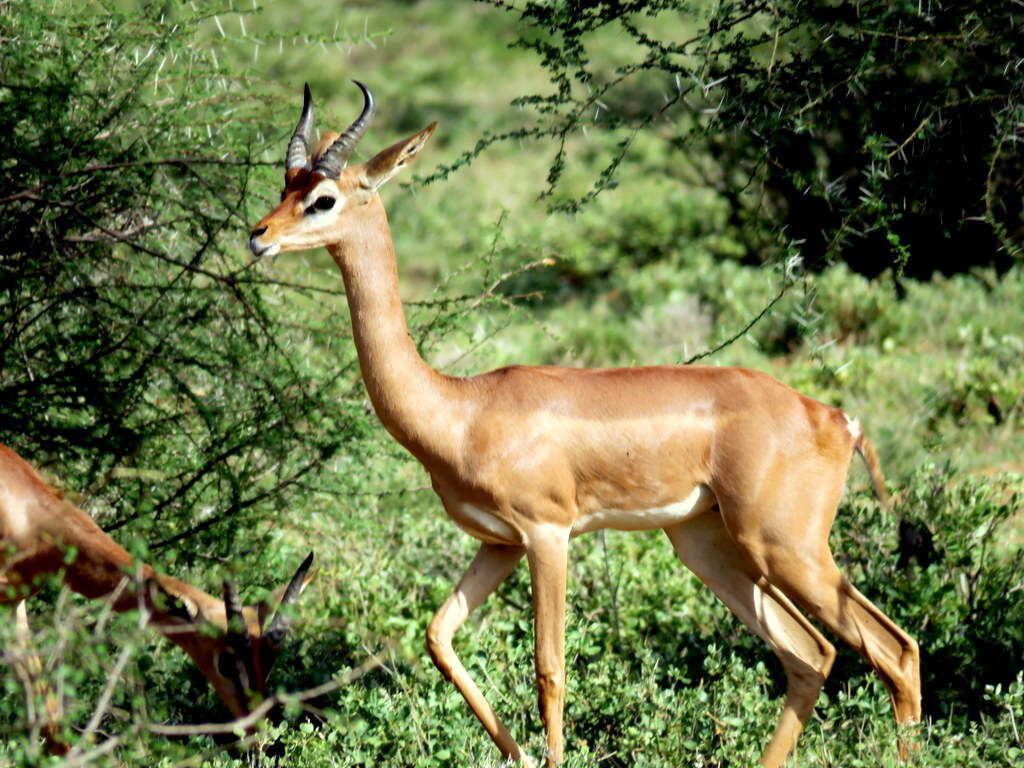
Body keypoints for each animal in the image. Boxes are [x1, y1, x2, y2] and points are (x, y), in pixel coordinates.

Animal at [0, 444, 313, 753]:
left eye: (269, 662)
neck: (28, 512)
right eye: (224, 662)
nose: (262, 734)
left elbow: (48, 714)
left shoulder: (15, 607)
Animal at [249, 83, 921, 768]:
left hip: (786, 548)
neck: (462, 410)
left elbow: (549, 668)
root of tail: (838, 419)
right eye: (286, 183)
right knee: (811, 654)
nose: (258, 235)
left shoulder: (548, 534)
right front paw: (518, 755)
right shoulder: (499, 543)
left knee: (892, 648)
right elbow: (439, 637)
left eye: (324, 198)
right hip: (709, 545)